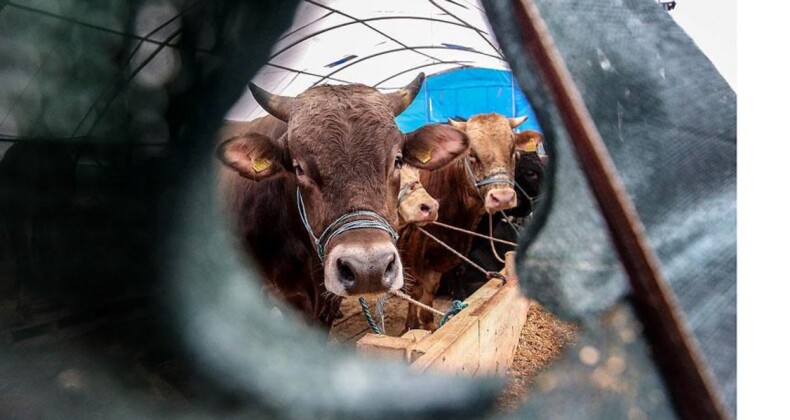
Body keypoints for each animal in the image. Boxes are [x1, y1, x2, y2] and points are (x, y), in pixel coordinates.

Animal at [402, 113, 532, 330]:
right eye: (471, 154)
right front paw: (410, 326)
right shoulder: (414, 254)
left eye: (513, 151)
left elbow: (428, 296)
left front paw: (428, 327)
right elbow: (415, 291)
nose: (502, 198)